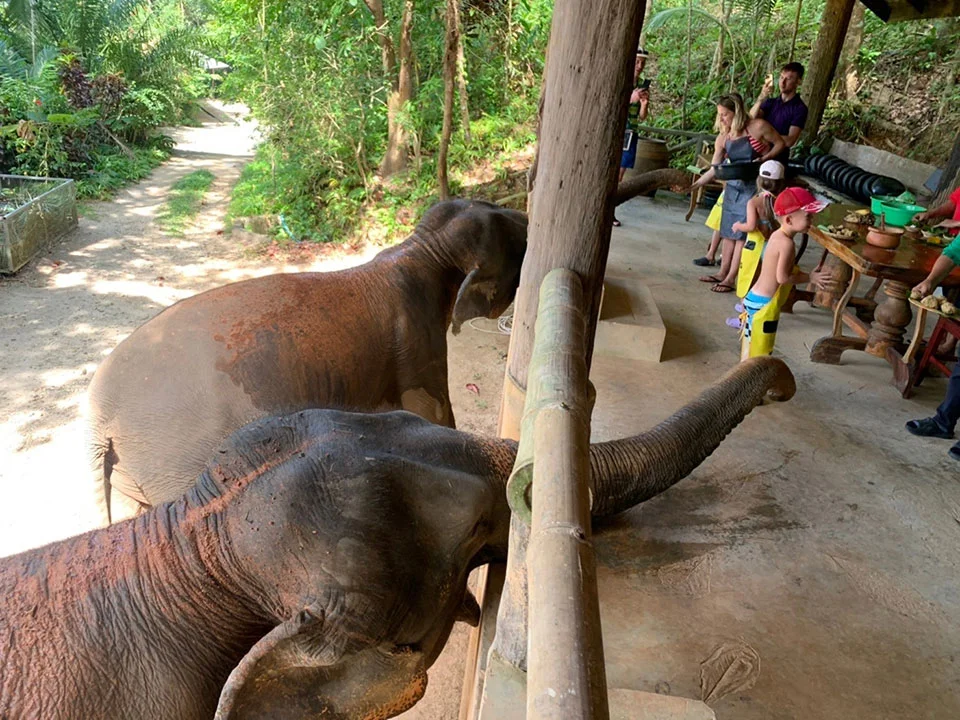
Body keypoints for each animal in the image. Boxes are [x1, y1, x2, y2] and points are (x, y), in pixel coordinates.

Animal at [86, 198, 527, 522]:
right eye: (518, 238)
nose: (526, 213)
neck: (419, 248)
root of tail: (97, 420)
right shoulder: (417, 343)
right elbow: (435, 414)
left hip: (133, 472)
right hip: (174, 459)